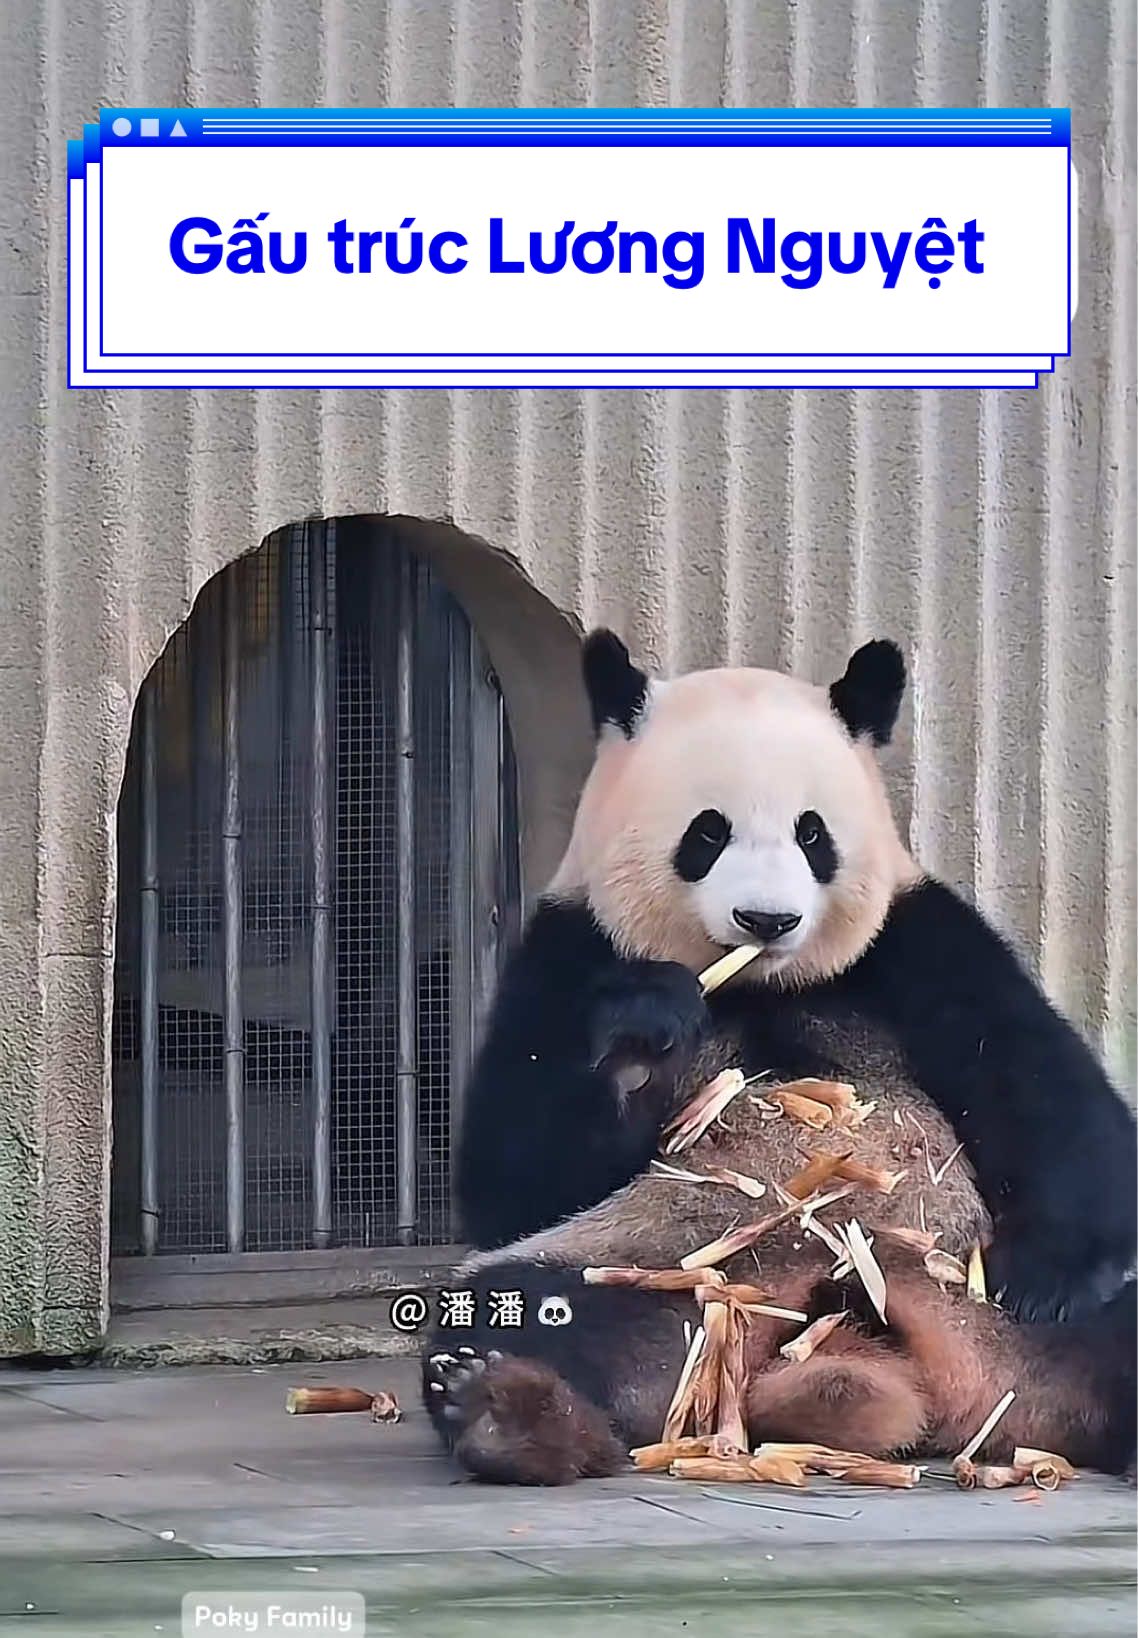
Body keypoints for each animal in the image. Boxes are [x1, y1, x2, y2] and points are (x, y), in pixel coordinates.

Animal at [423, 631, 1136, 1485]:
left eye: (812, 834)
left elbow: (1041, 1087)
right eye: (707, 833)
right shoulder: (567, 953)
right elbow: (515, 1179)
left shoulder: (917, 941)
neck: (759, 983)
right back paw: (510, 1412)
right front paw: (645, 1025)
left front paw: (1045, 1277)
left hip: (959, 1281)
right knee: (526, 1307)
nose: (767, 919)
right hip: (666, 1275)